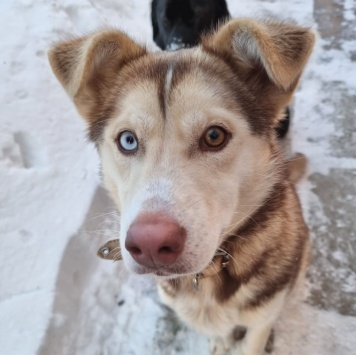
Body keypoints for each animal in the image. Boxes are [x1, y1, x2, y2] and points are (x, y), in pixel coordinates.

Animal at [48, 18, 314, 355]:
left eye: (214, 136)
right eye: (128, 140)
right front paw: (219, 343)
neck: (208, 277)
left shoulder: (260, 321)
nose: (150, 244)